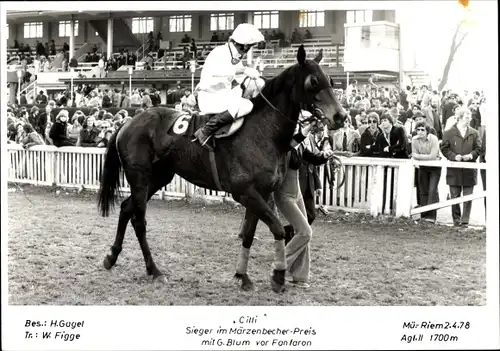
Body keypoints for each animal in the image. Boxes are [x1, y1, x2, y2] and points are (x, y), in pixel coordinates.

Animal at [98, 46, 348, 294]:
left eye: (330, 80)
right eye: (313, 81)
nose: (341, 116)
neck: (264, 132)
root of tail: (128, 122)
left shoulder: (261, 193)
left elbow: (249, 234)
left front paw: (243, 276)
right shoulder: (244, 192)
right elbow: (277, 228)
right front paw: (278, 275)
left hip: (158, 177)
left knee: (126, 208)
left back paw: (112, 257)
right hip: (140, 178)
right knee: (139, 221)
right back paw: (154, 270)